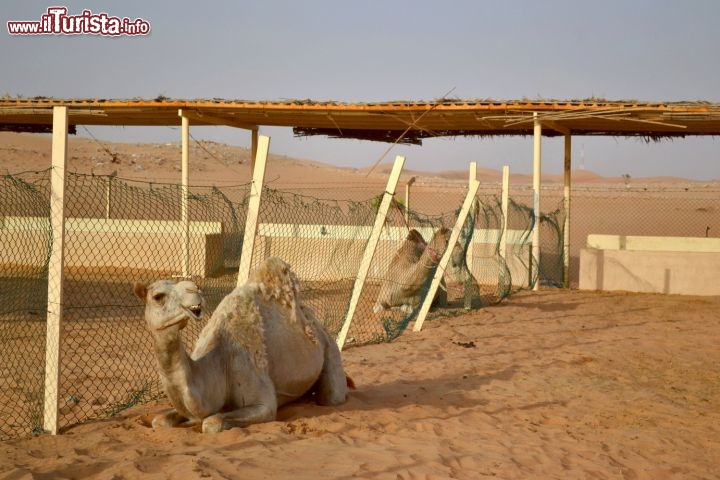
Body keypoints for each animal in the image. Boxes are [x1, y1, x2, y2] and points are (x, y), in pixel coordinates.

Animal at [135, 256, 352, 434]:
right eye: (158, 296)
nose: (194, 290)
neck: (218, 363)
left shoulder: (262, 400)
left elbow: (211, 423)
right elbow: (159, 421)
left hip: (330, 349)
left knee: (332, 396)